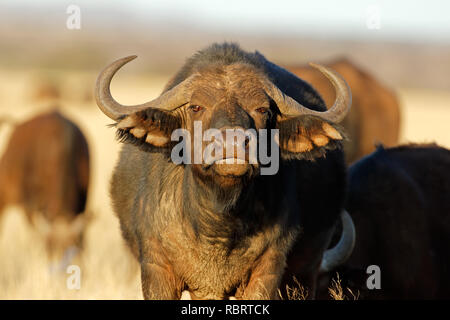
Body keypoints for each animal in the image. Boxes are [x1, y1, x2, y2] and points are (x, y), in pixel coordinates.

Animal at [97, 43, 356, 300]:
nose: (233, 141)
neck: (219, 221)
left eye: (263, 109)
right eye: (196, 107)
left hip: (306, 270)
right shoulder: (158, 269)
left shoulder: (267, 271)